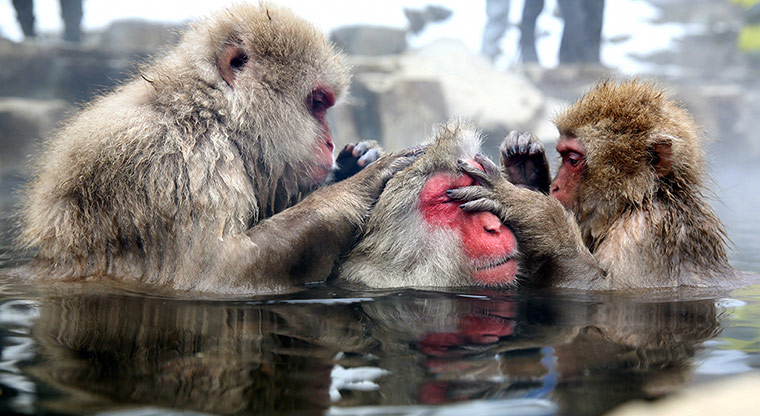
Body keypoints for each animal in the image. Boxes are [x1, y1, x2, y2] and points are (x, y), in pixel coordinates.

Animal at [16, 3, 418, 294]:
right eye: (317, 104)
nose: (329, 141)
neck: (211, 112)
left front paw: (356, 160)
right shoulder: (178, 165)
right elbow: (221, 271)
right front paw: (362, 181)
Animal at [491, 79, 739, 289]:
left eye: (573, 160)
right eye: (562, 155)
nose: (555, 188)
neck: (638, 201)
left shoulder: (646, 232)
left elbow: (604, 288)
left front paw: (541, 217)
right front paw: (526, 169)